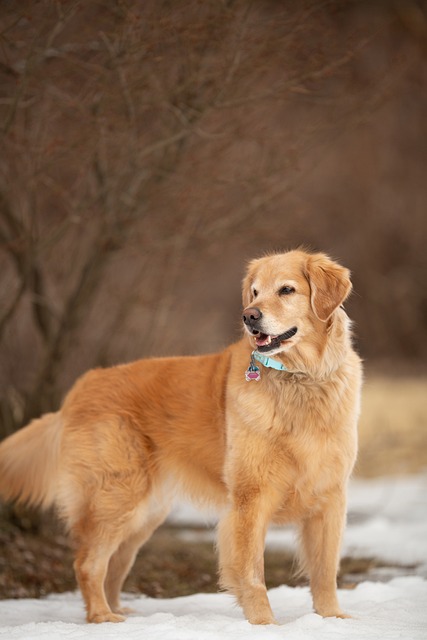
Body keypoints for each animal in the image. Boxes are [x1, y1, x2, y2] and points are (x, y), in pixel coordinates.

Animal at [0, 249, 362, 624]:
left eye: (287, 290)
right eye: (255, 293)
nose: (249, 316)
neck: (300, 379)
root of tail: (80, 387)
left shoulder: (330, 496)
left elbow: (325, 570)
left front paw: (332, 618)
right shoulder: (251, 497)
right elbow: (252, 572)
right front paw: (264, 623)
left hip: (144, 514)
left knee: (113, 566)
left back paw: (119, 612)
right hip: (116, 497)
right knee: (88, 563)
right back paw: (102, 617)